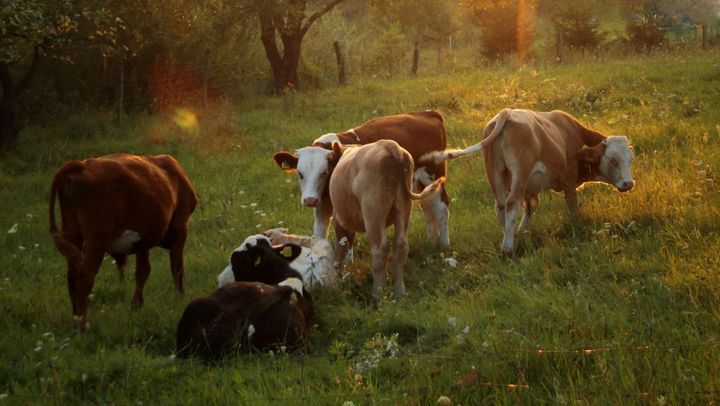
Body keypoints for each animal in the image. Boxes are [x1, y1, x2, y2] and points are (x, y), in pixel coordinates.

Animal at [49, 153, 197, 330]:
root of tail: (82, 166)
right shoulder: (180, 227)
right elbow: (177, 268)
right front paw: (180, 299)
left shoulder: (143, 239)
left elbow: (143, 271)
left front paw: (136, 307)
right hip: (96, 240)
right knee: (85, 277)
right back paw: (81, 325)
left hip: (73, 233)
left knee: (72, 276)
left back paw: (74, 320)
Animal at [272, 112, 450, 251]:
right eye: (300, 173)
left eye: (324, 172)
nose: (310, 200)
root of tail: (427, 113)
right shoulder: (321, 209)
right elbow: (319, 237)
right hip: (419, 185)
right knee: (428, 207)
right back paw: (432, 243)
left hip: (433, 175)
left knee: (441, 208)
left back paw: (445, 246)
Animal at [330, 140, 444, 302]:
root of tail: (389, 145)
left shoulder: (339, 219)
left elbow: (341, 248)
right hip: (403, 206)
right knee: (400, 245)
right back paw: (400, 290)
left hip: (373, 212)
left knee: (380, 249)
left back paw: (377, 295)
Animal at [424, 108, 632, 254]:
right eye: (613, 161)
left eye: (630, 159)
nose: (629, 184)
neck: (572, 132)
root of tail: (506, 113)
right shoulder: (568, 180)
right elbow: (572, 206)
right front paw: (576, 227)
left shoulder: (530, 188)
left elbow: (531, 205)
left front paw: (521, 231)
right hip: (519, 173)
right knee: (511, 204)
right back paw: (507, 248)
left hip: (495, 173)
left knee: (501, 206)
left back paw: (507, 236)